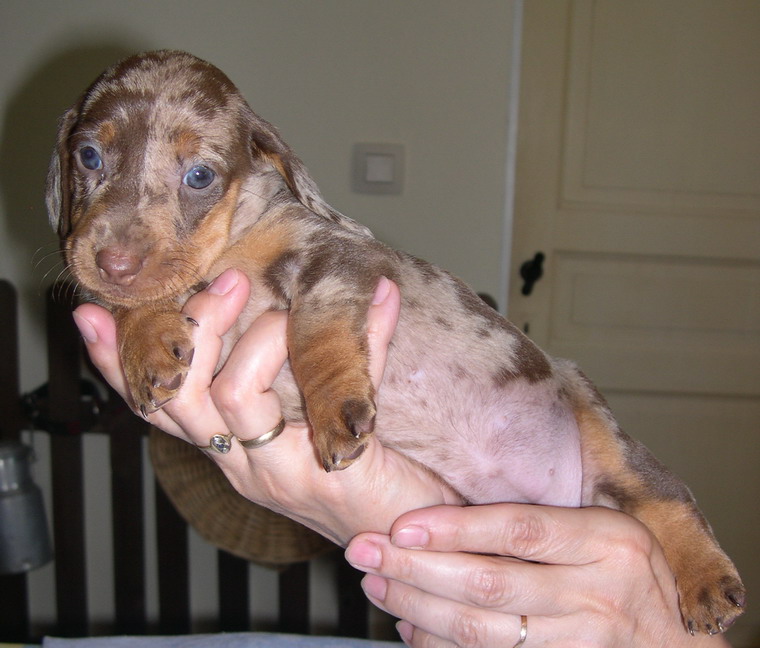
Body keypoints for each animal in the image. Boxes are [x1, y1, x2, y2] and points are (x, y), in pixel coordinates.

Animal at [47, 50, 744, 632]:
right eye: (89, 157)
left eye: (199, 175)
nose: (112, 262)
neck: (230, 247)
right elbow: (130, 303)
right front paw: (145, 337)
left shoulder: (336, 262)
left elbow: (315, 331)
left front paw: (333, 411)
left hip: (602, 431)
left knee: (669, 497)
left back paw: (707, 581)